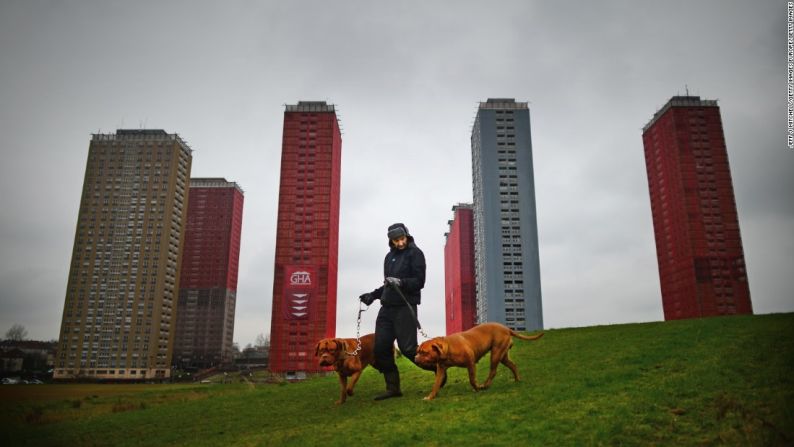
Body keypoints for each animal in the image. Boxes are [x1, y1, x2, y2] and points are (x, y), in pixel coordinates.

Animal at [412, 324, 540, 400]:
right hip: (503, 356)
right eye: (418, 351)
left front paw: (477, 388)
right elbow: (436, 384)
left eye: (424, 352)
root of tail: (506, 328)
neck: (448, 348)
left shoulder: (471, 363)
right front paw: (430, 397)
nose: (415, 357)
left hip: (496, 354)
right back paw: (517, 379)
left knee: (493, 371)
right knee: (513, 365)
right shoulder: (441, 370)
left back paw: (485, 385)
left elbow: (472, 379)